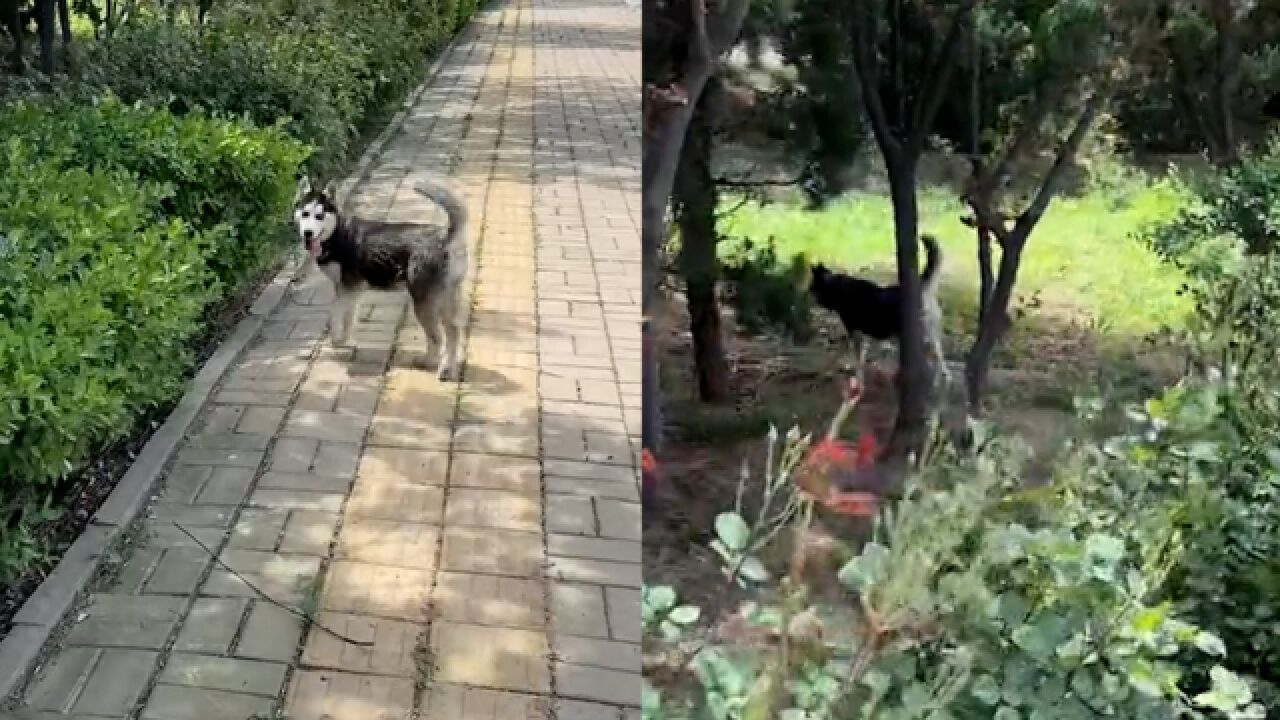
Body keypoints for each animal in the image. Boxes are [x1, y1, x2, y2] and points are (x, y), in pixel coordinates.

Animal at [293, 174, 468, 379]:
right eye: (305, 214)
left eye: (319, 216)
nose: (308, 233)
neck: (337, 233)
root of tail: (445, 238)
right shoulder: (352, 291)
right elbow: (348, 318)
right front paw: (344, 339)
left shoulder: (347, 288)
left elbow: (334, 313)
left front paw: (336, 339)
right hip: (446, 299)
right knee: (453, 331)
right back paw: (448, 368)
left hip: (424, 302)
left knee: (437, 336)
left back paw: (429, 362)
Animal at [808, 233, 952, 386]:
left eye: (812, 287)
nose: (807, 294)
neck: (836, 287)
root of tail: (921, 288)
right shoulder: (861, 335)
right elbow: (854, 358)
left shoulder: (854, 333)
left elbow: (854, 361)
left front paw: (858, 382)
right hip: (930, 335)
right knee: (940, 357)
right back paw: (942, 379)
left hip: (919, 337)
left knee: (936, 359)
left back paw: (934, 381)